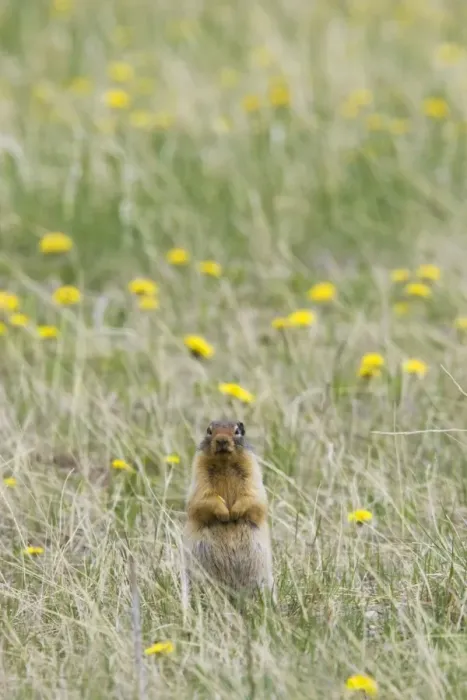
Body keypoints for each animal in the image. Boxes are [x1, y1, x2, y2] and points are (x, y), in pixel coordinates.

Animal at [183, 420, 274, 596]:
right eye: (209, 430)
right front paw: (225, 513)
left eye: (237, 431)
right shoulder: (199, 477)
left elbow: (252, 496)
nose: (222, 440)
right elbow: (203, 498)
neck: (224, 464)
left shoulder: (252, 474)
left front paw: (235, 512)